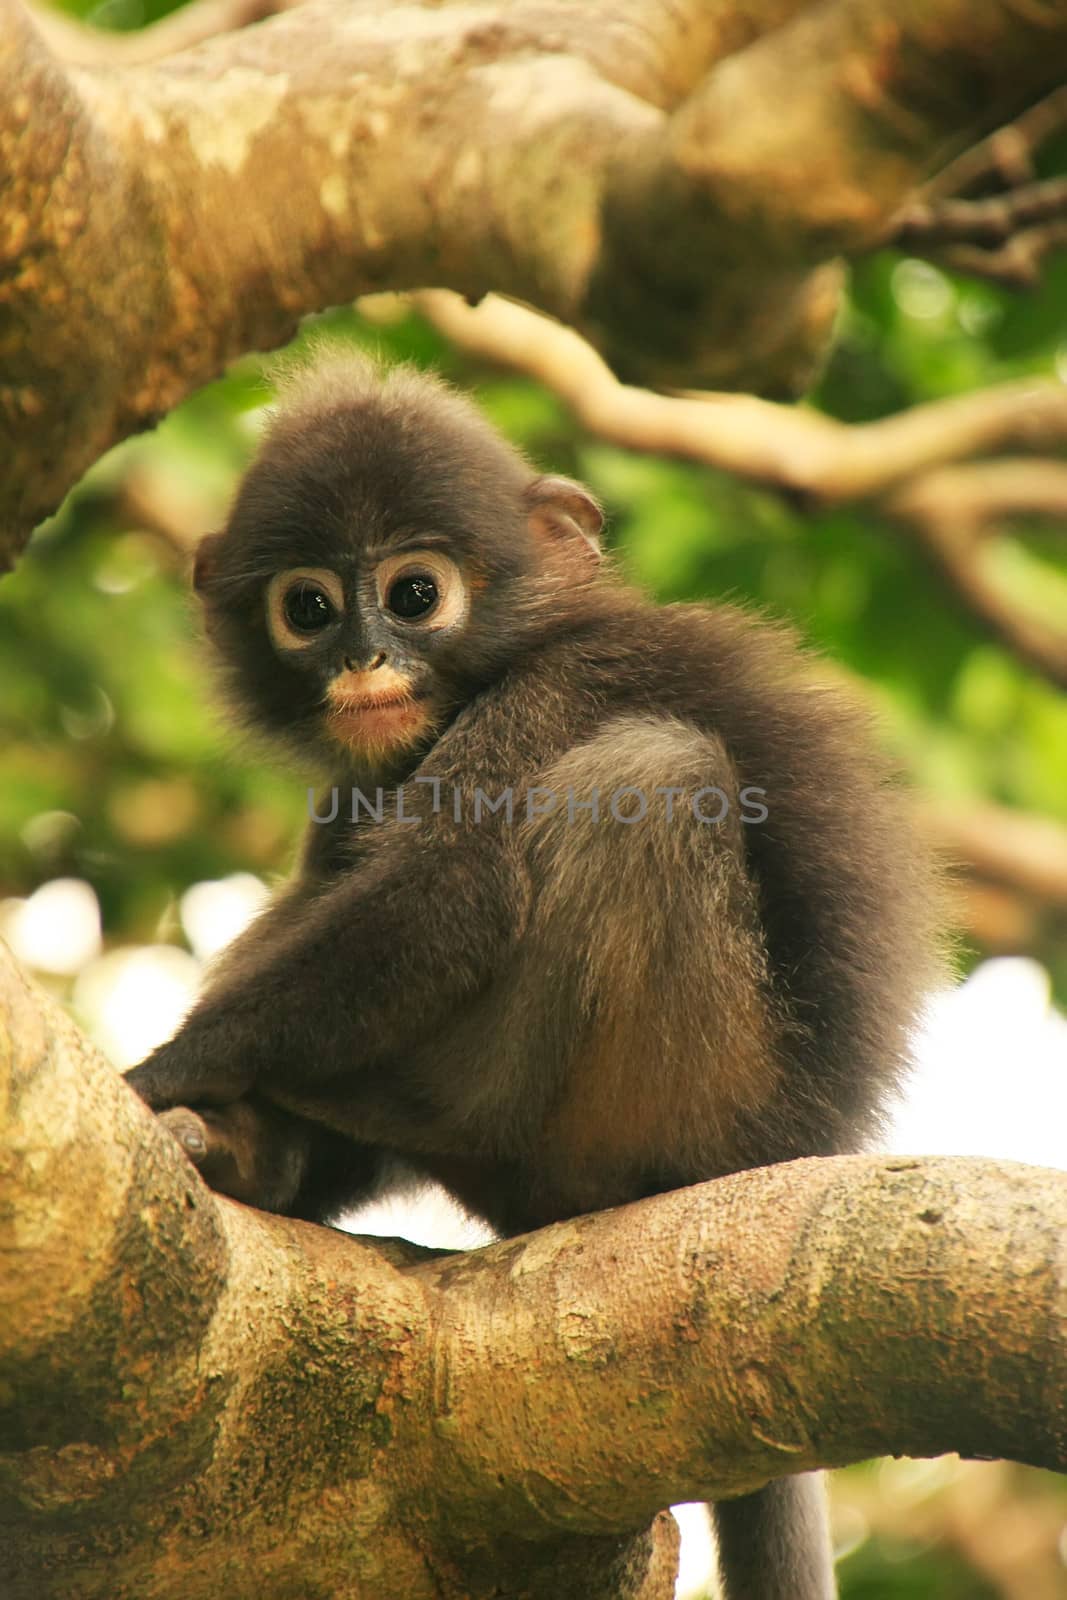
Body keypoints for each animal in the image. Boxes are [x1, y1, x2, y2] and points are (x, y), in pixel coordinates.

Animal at [127, 353, 940, 1600]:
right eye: (309, 608)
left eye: (415, 594)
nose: (365, 660)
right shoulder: (355, 781)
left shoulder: (558, 684)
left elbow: (452, 892)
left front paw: (147, 1080)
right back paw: (260, 1157)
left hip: (703, 1097)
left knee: (656, 770)